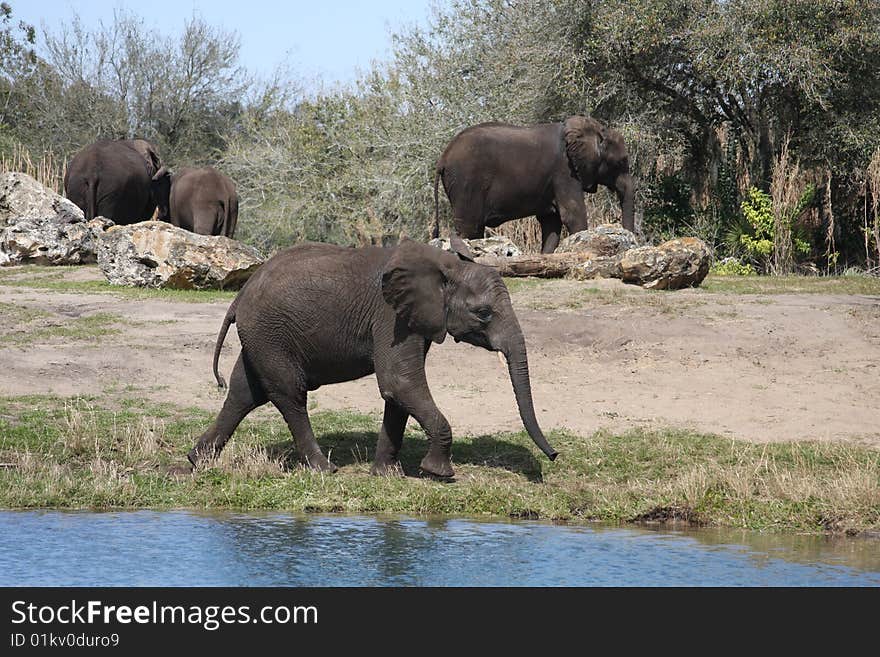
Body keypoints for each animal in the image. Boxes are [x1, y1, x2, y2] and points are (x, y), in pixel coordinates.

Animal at [185, 236, 556, 476]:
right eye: (483, 313)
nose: (553, 456)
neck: (446, 266)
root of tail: (239, 295)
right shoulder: (390, 317)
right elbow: (400, 382)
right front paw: (439, 474)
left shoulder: (412, 319)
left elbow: (398, 392)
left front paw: (386, 475)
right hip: (270, 333)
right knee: (289, 395)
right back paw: (325, 469)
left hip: (262, 337)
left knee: (243, 392)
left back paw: (196, 461)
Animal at [432, 115, 632, 251]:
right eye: (621, 162)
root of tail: (443, 158)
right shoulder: (564, 171)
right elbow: (572, 214)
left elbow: (551, 221)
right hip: (466, 182)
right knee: (470, 228)